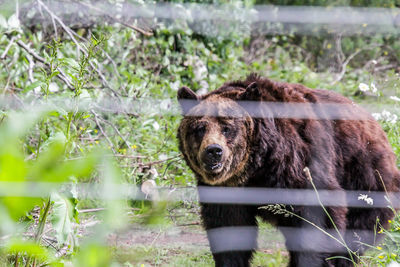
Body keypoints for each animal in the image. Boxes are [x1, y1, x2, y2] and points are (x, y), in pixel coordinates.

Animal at [178, 74, 400, 267]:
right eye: (200, 128)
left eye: (227, 127)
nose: (213, 151)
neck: (257, 168)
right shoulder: (226, 191)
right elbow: (229, 229)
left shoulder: (298, 166)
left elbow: (317, 220)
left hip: (364, 175)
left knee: (358, 230)